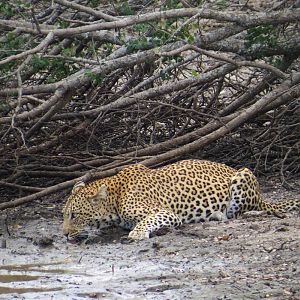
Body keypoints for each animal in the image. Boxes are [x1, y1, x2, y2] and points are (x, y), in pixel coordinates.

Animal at [62, 159, 298, 241]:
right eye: (64, 215)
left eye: (74, 215)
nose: (63, 234)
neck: (115, 197)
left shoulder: (166, 212)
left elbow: (147, 221)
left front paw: (137, 233)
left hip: (243, 174)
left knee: (241, 211)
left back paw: (219, 215)